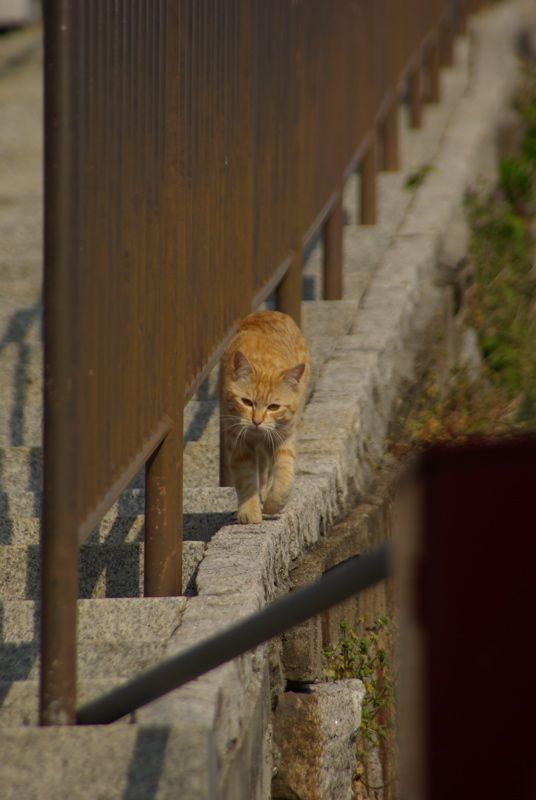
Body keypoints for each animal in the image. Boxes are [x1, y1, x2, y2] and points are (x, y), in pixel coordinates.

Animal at [219, 310, 310, 524]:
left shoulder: (283, 437)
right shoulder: (238, 442)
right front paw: (250, 510)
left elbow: (284, 477)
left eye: (274, 407)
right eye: (247, 402)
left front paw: (272, 504)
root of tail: (269, 311)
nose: (257, 421)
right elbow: (245, 479)